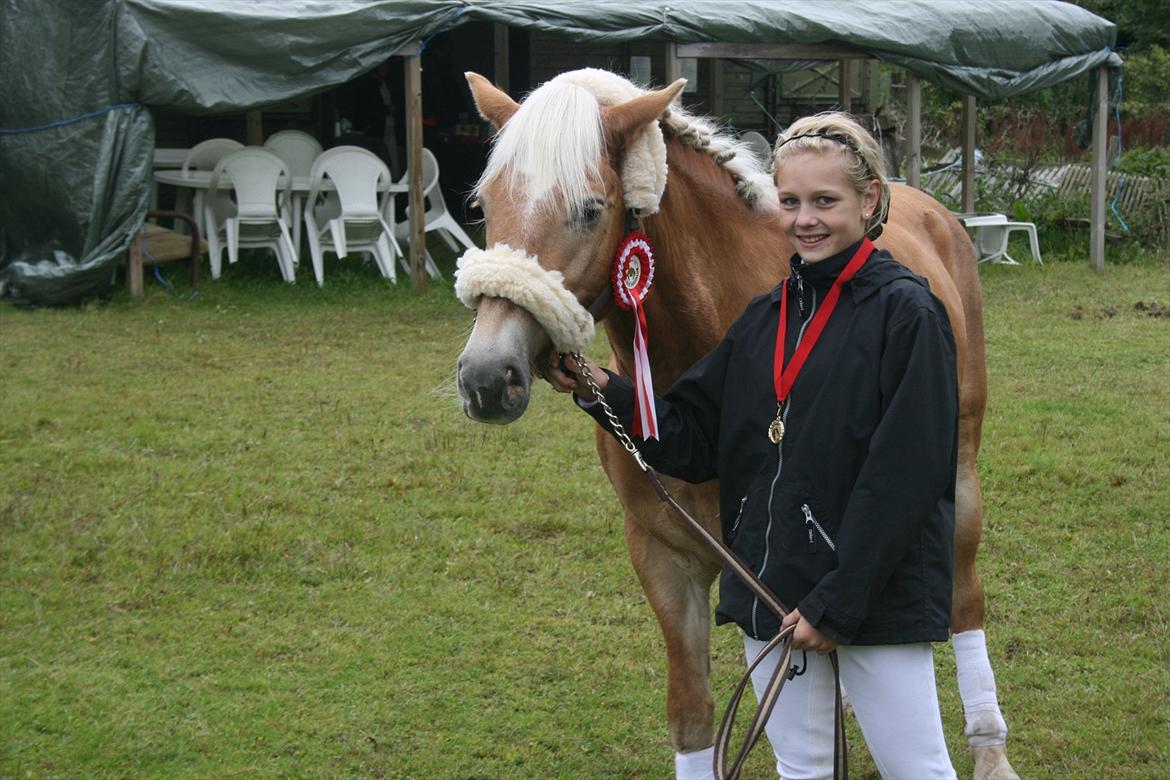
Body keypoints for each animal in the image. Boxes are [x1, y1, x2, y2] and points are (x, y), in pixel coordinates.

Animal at [451, 68, 1020, 780]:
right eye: (484, 207)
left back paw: (990, 747)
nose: (485, 378)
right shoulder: (666, 559)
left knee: (965, 601)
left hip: (959, 477)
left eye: (589, 208)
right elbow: (693, 714)